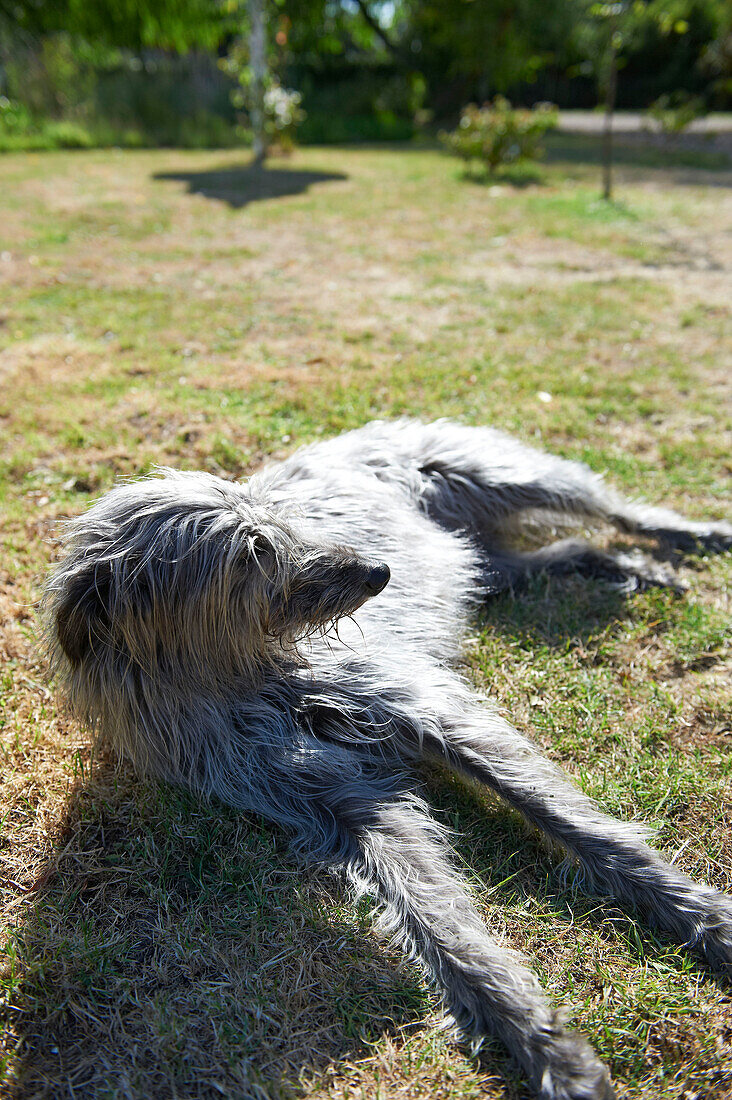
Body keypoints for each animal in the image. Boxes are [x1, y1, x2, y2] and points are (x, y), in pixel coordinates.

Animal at [44, 420, 730, 1100]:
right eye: (251, 552)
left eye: (278, 522)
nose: (379, 572)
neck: (249, 676)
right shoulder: (335, 800)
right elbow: (433, 914)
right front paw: (537, 1037)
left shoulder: (429, 709)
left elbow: (569, 820)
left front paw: (701, 915)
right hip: (486, 564)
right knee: (561, 549)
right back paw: (624, 566)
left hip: (508, 476)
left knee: (616, 507)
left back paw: (694, 535)